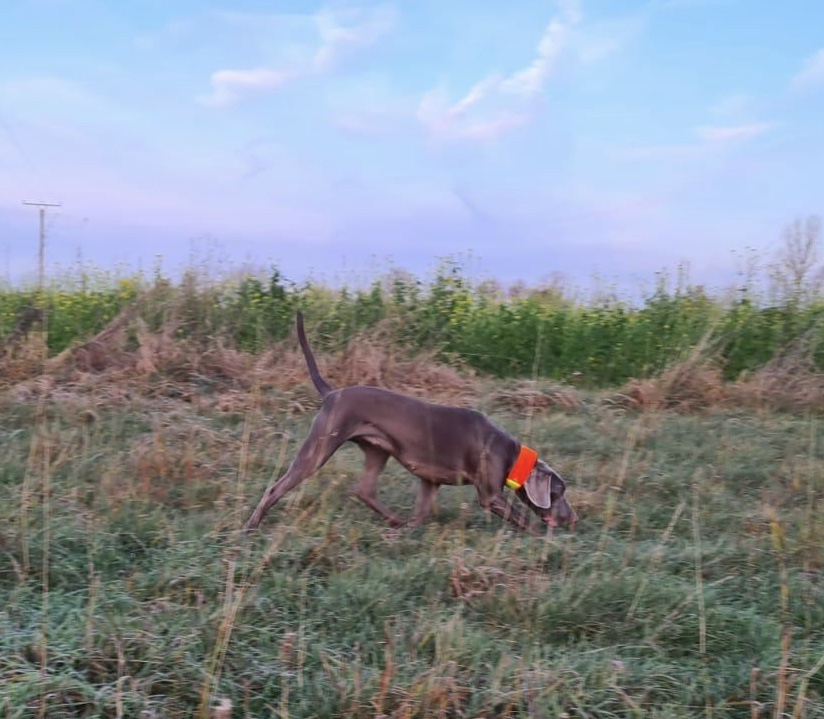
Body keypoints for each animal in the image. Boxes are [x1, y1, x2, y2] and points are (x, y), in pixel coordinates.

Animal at [246, 312, 580, 532]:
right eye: (558, 492)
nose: (573, 519)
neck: (509, 453)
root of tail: (332, 393)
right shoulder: (490, 496)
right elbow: (522, 519)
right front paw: (542, 539)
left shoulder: (429, 481)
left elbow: (422, 512)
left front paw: (410, 530)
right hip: (319, 448)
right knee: (276, 488)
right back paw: (251, 526)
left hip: (377, 450)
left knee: (364, 491)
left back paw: (395, 521)